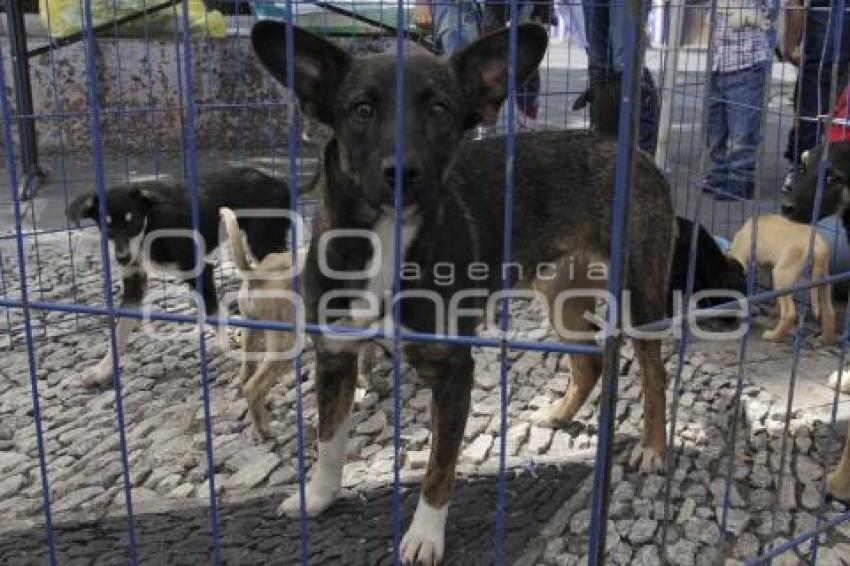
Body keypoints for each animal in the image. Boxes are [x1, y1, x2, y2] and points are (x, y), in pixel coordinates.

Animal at [66, 166, 294, 388]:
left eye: (134, 221)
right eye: (107, 226)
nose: (123, 259)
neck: (151, 224)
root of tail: (279, 182)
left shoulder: (200, 270)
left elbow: (213, 313)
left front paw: (225, 352)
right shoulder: (134, 283)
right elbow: (119, 330)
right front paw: (101, 371)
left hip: (262, 243)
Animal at [222, 207, 304, 440]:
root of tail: (256, 275)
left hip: (251, 333)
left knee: (246, 377)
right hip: (286, 344)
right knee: (253, 387)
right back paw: (265, 431)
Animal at [724, 214, 832, 344]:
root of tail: (817, 244)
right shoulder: (769, 266)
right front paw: (775, 310)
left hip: (781, 277)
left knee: (789, 314)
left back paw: (773, 336)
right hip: (823, 281)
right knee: (829, 311)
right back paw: (826, 339)